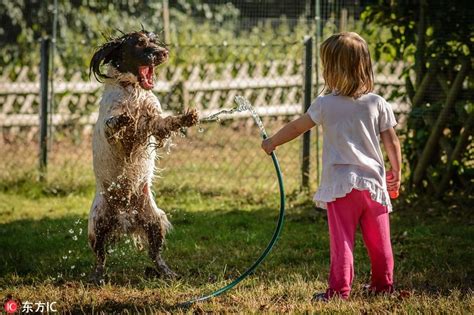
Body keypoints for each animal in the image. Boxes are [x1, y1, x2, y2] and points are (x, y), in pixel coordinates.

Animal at [87, 29, 198, 284]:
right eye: (139, 43)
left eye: (155, 40)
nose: (163, 52)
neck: (134, 89)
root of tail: (125, 219)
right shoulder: (112, 129)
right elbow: (113, 124)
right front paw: (122, 119)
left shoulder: (152, 122)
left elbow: (165, 122)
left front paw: (185, 118)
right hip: (97, 225)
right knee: (100, 257)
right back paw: (98, 277)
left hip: (154, 221)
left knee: (155, 254)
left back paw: (167, 273)